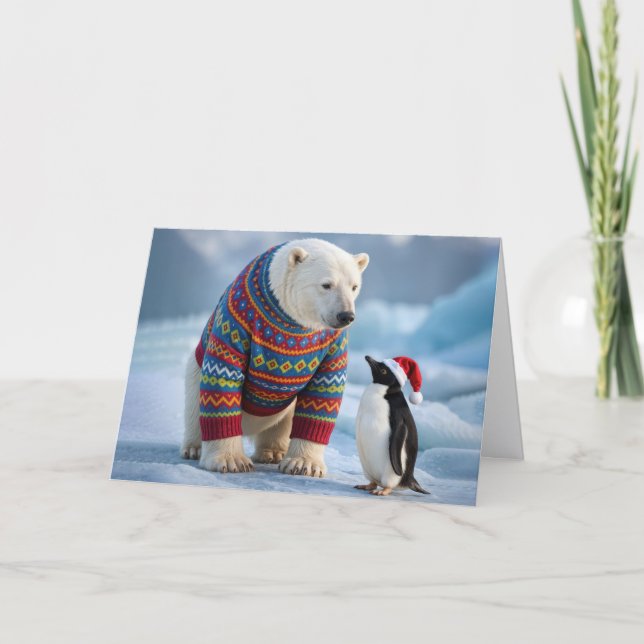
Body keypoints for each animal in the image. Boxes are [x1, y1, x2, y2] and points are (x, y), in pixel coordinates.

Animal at [180, 238, 369, 477]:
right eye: (326, 285)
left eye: (354, 286)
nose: (346, 316)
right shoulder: (238, 321)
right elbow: (223, 372)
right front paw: (232, 461)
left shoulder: (331, 344)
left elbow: (325, 390)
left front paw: (304, 464)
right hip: (194, 373)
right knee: (195, 407)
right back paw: (194, 448)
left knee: (284, 421)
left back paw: (273, 452)